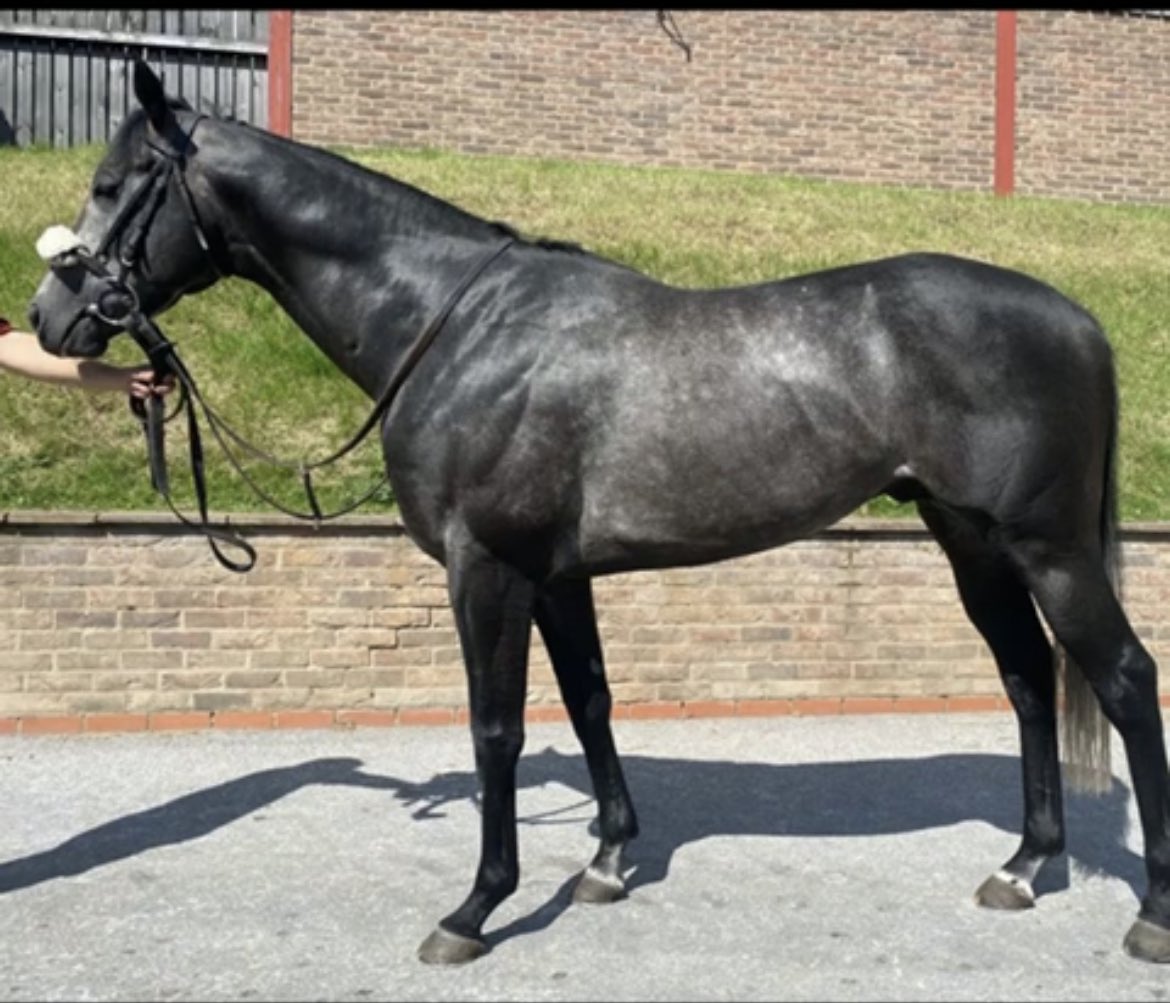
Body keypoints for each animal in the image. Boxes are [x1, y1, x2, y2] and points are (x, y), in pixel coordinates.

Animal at [27, 60, 1170, 966]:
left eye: (114, 185)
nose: (50, 317)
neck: (460, 327)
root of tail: (1077, 319)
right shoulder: (559, 575)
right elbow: (589, 702)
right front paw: (610, 858)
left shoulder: (488, 569)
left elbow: (496, 727)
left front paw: (476, 907)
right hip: (969, 540)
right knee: (1026, 678)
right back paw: (1023, 865)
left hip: (1049, 549)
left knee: (1121, 677)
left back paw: (1149, 910)